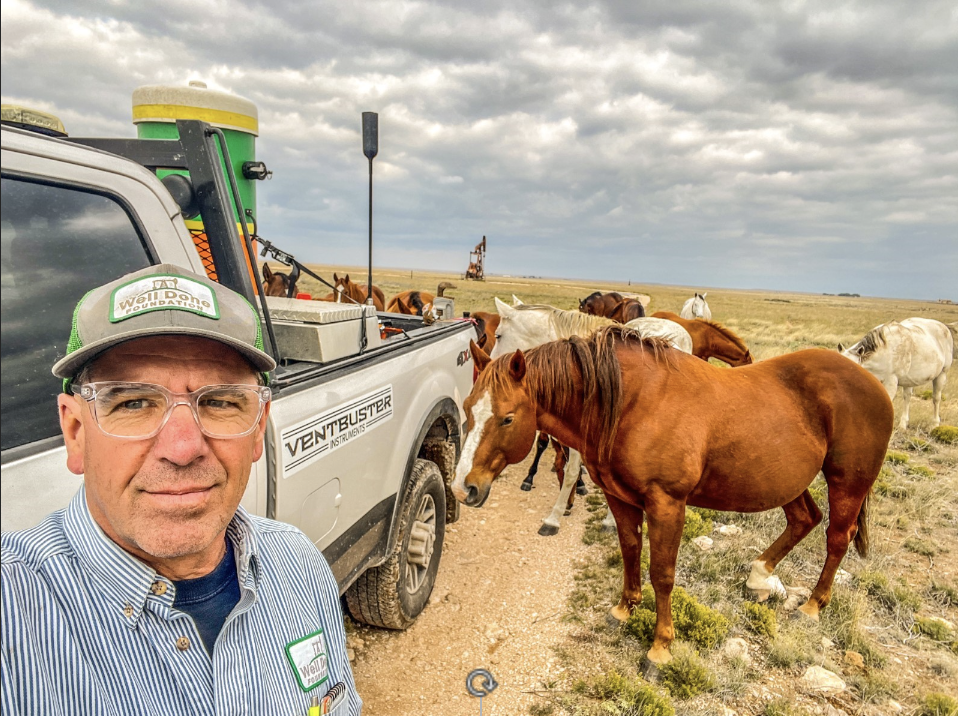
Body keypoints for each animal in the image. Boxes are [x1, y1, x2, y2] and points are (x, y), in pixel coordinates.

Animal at [454, 328, 896, 664]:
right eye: (467, 408)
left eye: (507, 418)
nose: (463, 487)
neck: (630, 402)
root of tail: (873, 382)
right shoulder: (620, 497)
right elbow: (630, 551)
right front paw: (624, 609)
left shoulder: (667, 504)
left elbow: (663, 575)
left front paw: (660, 648)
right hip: (787, 481)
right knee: (804, 519)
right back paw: (759, 575)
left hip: (847, 483)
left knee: (837, 538)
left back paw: (812, 606)